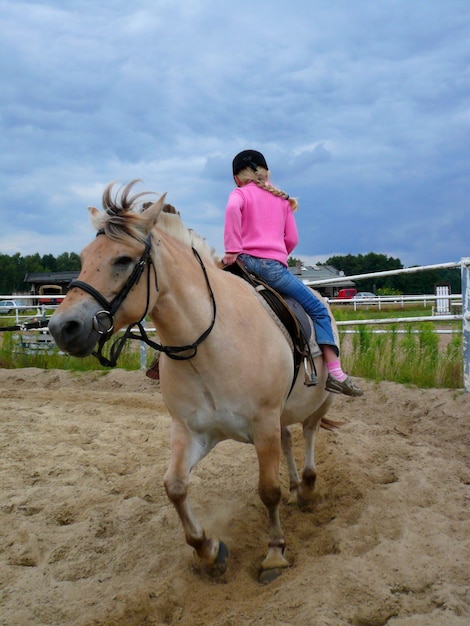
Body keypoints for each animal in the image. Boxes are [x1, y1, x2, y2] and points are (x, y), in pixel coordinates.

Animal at [48, 179, 338, 580]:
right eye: (83, 257)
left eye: (122, 260)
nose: (62, 328)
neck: (211, 345)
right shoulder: (193, 430)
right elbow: (175, 487)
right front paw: (209, 550)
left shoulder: (262, 425)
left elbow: (268, 491)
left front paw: (275, 553)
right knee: (289, 440)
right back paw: (297, 486)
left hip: (320, 400)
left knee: (308, 432)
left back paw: (307, 488)